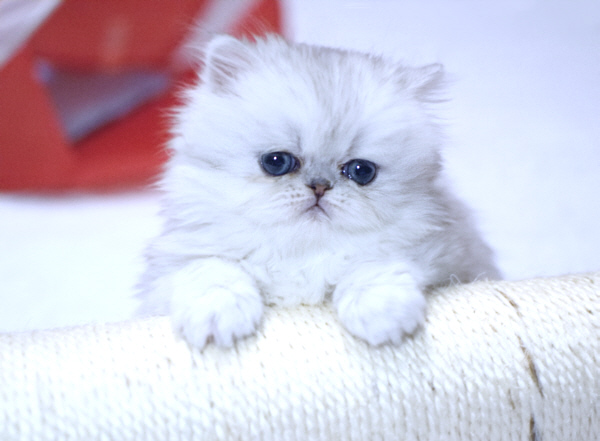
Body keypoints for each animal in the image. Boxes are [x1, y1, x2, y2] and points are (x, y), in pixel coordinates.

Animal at [138, 34, 500, 348]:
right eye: (276, 162)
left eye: (361, 171)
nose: (320, 187)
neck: (302, 255)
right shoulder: (171, 271)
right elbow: (214, 272)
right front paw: (218, 321)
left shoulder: (448, 262)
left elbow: (372, 268)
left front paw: (382, 318)